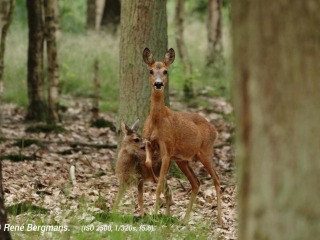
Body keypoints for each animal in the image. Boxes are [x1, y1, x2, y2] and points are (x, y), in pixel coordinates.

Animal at [143, 47, 221, 225]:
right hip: (183, 160)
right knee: (196, 182)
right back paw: (185, 220)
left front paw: (155, 214)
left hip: (205, 152)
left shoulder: (167, 149)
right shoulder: (149, 143)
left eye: (165, 71)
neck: (157, 120)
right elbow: (148, 163)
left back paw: (220, 220)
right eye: (151, 71)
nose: (158, 84)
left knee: (217, 179)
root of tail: (215, 130)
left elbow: (159, 185)